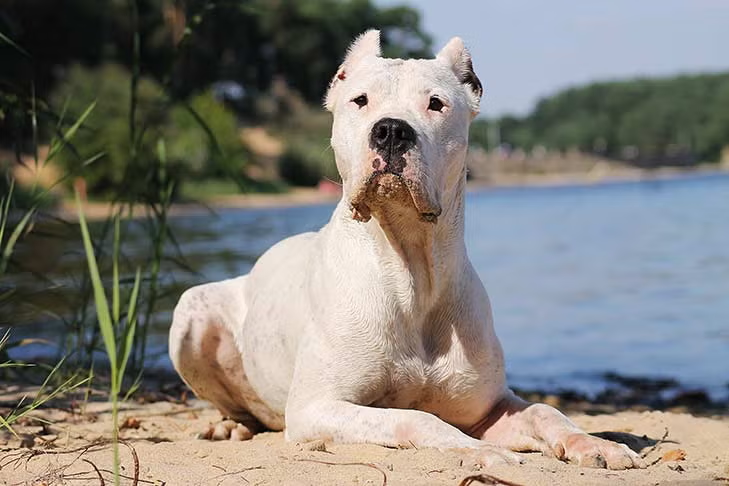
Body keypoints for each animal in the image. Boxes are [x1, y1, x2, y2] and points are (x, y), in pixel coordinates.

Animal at [169, 30, 644, 470]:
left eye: (436, 103)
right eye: (359, 100)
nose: (392, 130)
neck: (411, 270)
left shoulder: (489, 407)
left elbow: (545, 412)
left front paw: (593, 443)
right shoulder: (315, 408)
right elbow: (414, 417)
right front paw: (481, 451)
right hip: (191, 312)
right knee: (236, 403)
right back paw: (229, 425)